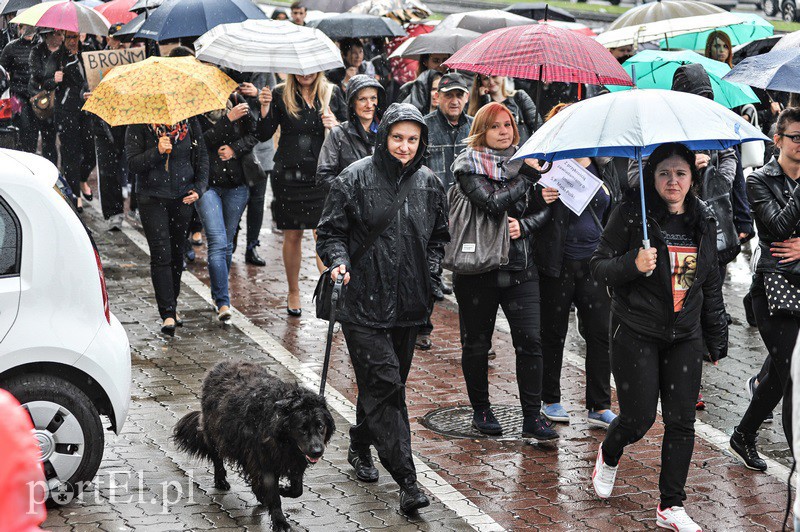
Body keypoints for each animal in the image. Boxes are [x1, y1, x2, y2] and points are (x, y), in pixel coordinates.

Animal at [173, 360, 336, 528]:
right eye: (301, 428)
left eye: (320, 426)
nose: (317, 451)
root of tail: (224, 363)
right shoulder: (265, 460)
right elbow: (273, 494)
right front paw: (280, 521)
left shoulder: (294, 460)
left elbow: (297, 490)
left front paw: (283, 489)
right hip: (215, 433)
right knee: (217, 457)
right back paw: (221, 480)